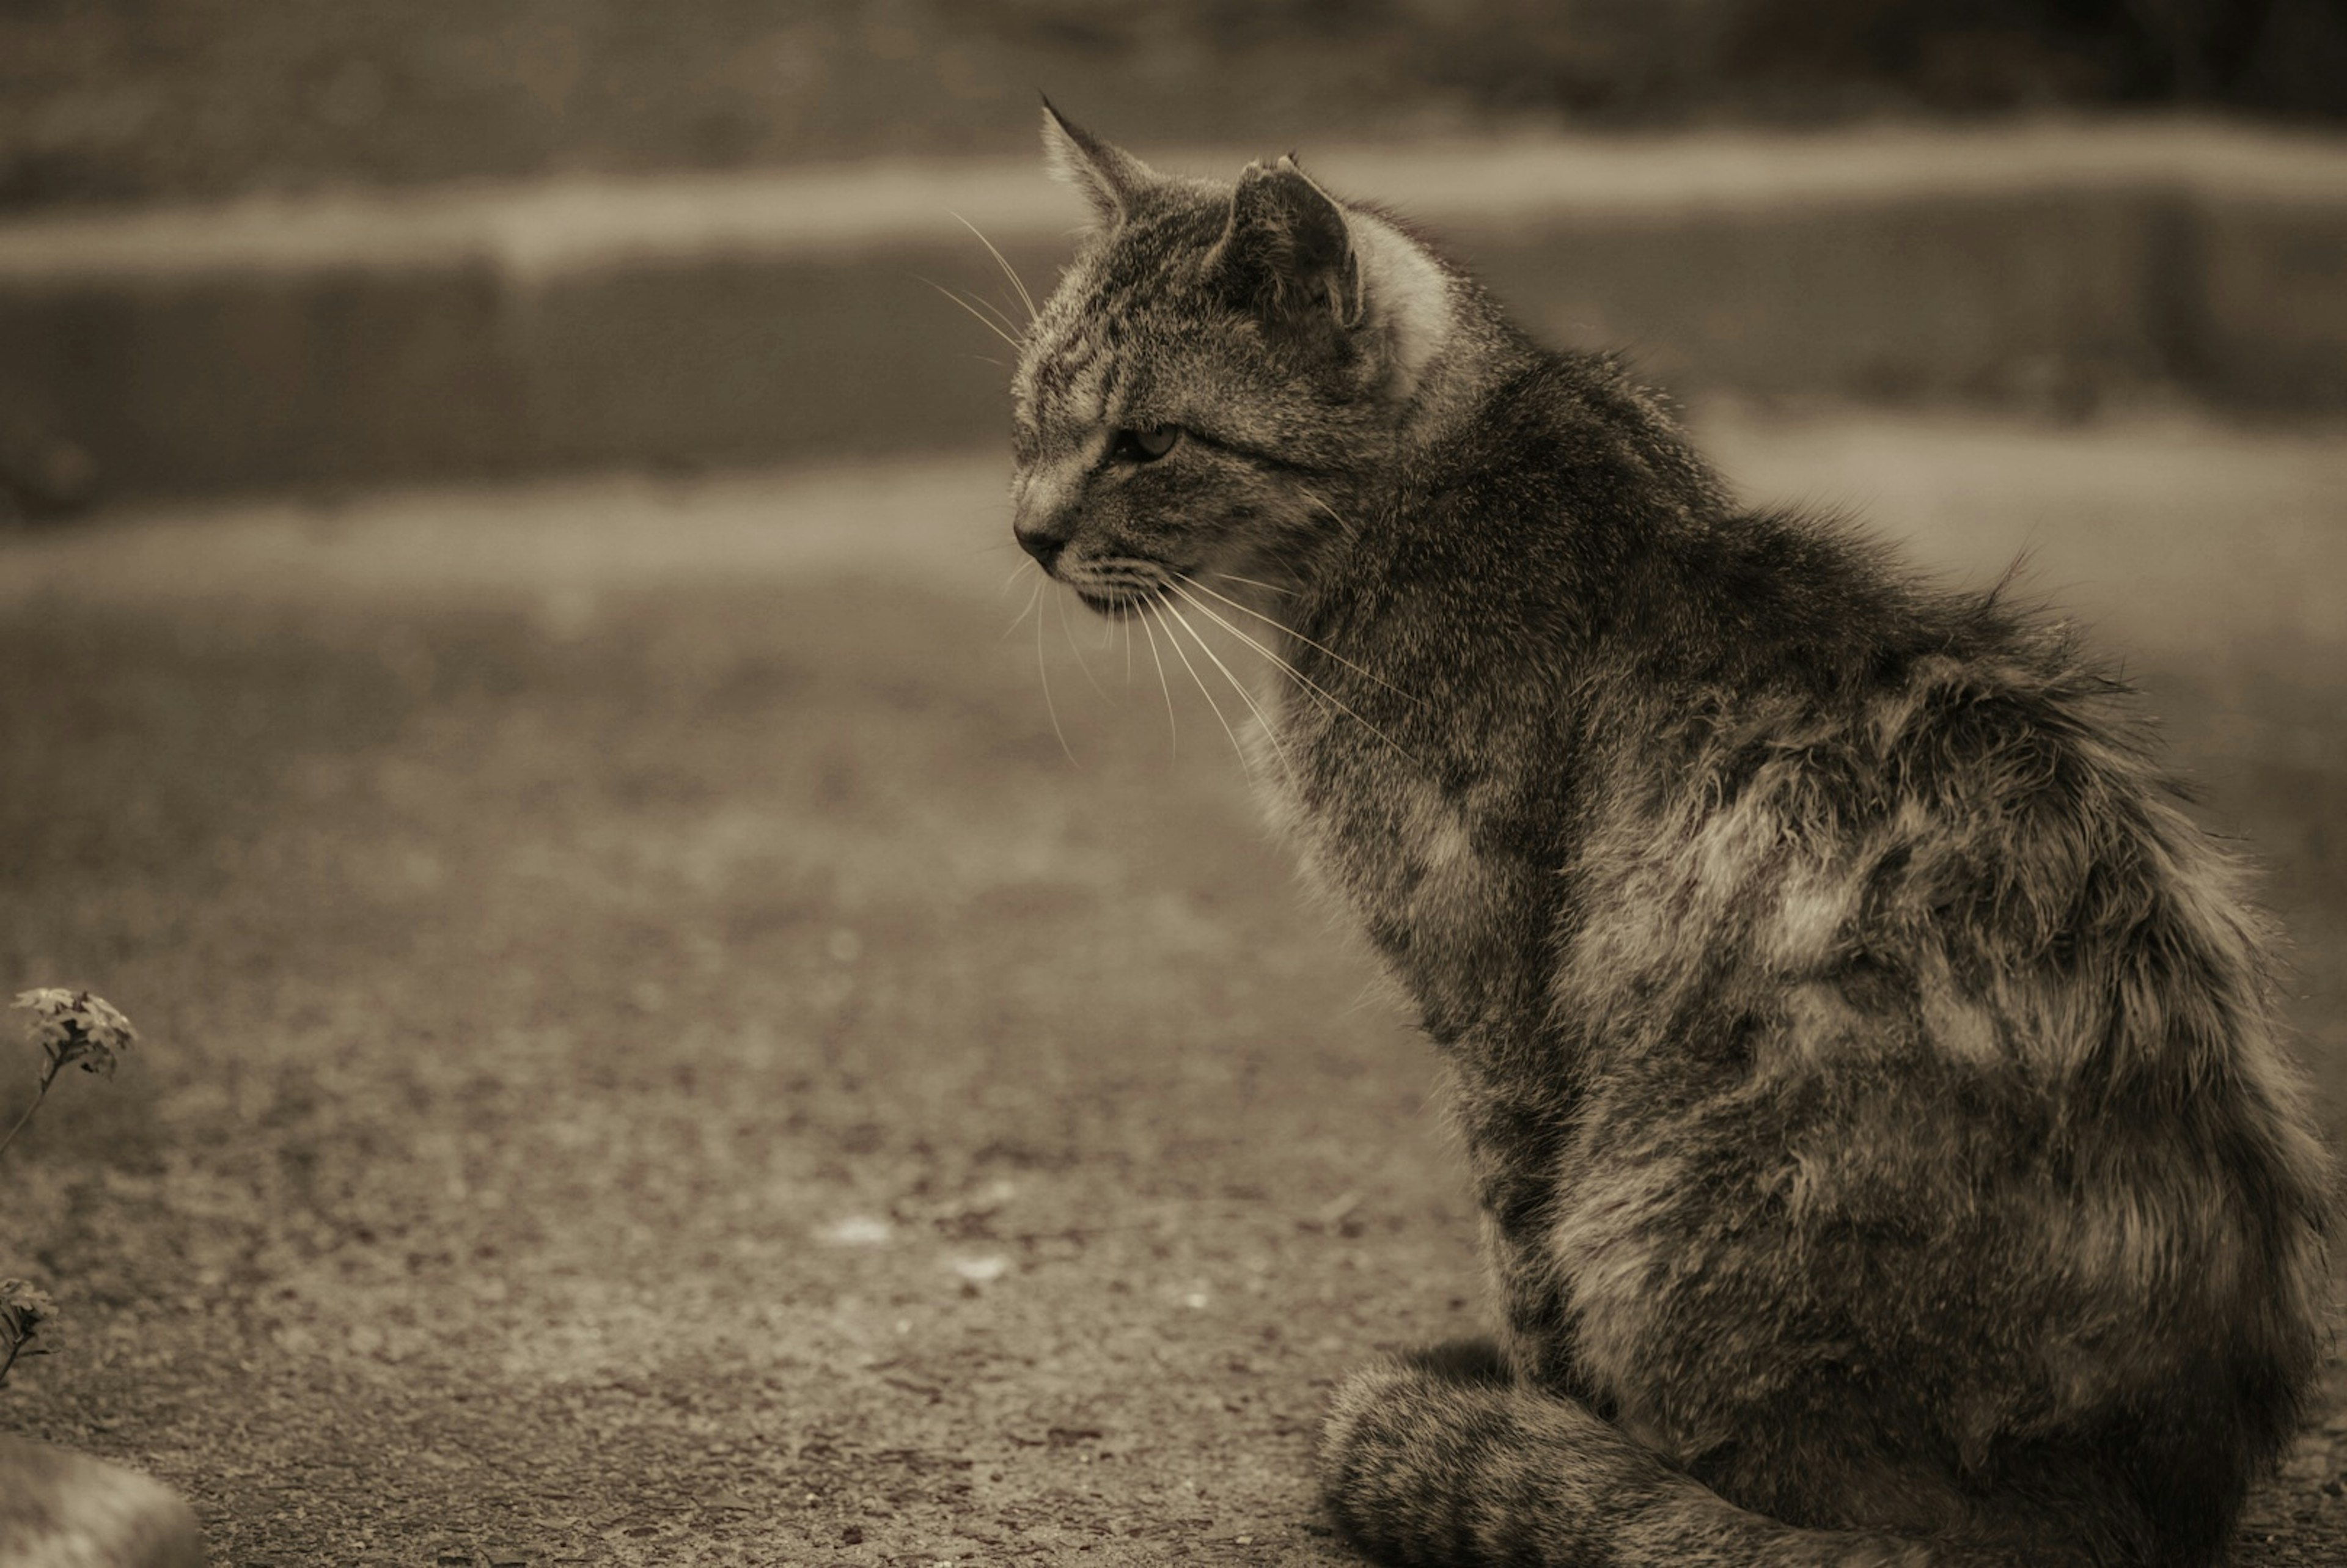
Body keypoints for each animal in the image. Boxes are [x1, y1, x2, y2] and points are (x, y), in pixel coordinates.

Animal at [1004, 101, 2328, 1568]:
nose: (1029, 533)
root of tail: (2123, 1514)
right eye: (1028, 421)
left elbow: (1524, 1268)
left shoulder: (1503, 1021)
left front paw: (1539, 1432)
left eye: (1147, 443)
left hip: (1664, 1187)